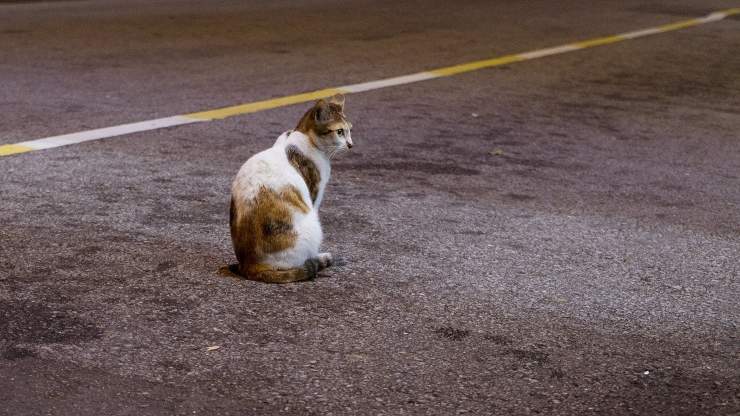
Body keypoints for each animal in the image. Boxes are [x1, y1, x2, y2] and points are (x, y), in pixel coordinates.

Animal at [230, 95, 354, 282]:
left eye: (350, 130)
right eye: (340, 131)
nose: (351, 144)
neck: (304, 137)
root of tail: (249, 264)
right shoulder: (314, 194)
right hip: (313, 226)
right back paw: (320, 258)